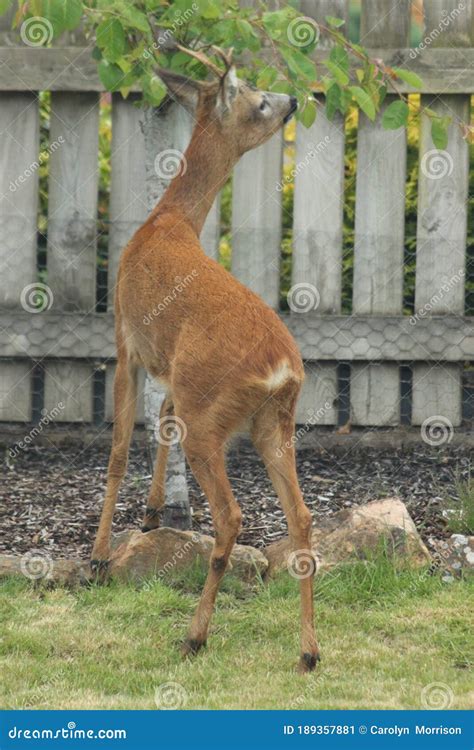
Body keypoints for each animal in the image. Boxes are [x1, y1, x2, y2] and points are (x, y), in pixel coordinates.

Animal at [90, 50, 320, 672]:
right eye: (260, 100)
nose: (296, 99)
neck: (166, 220)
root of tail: (281, 368)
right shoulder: (172, 366)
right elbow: (160, 421)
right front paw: (151, 513)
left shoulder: (126, 338)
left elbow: (118, 447)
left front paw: (98, 554)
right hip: (273, 421)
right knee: (301, 518)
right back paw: (309, 651)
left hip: (212, 415)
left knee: (232, 517)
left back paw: (195, 635)